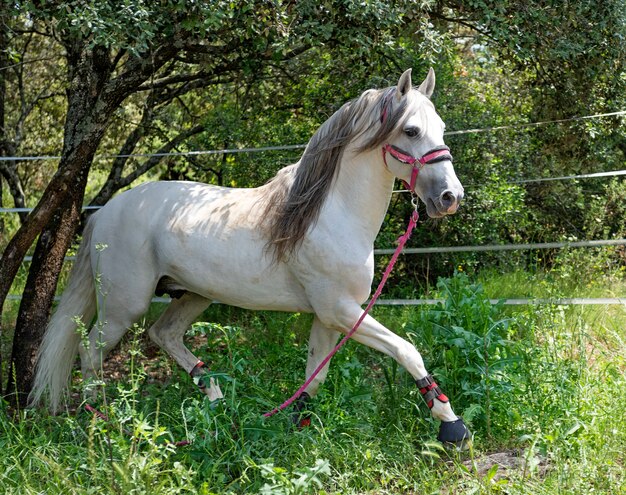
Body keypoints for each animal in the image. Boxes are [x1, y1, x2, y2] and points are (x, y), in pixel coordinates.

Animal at [29, 69, 468, 450]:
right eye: (411, 131)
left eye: (441, 128)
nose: (450, 197)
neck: (330, 215)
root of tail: (105, 211)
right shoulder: (341, 310)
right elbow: (407, 350)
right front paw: (452, 426)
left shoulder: (329, 316)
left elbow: (314, 377)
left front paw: (293, 426)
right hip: (124, 305)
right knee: (91, 352)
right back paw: (101, 421)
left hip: (194, 295)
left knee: (163, 334)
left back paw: (216, 399)